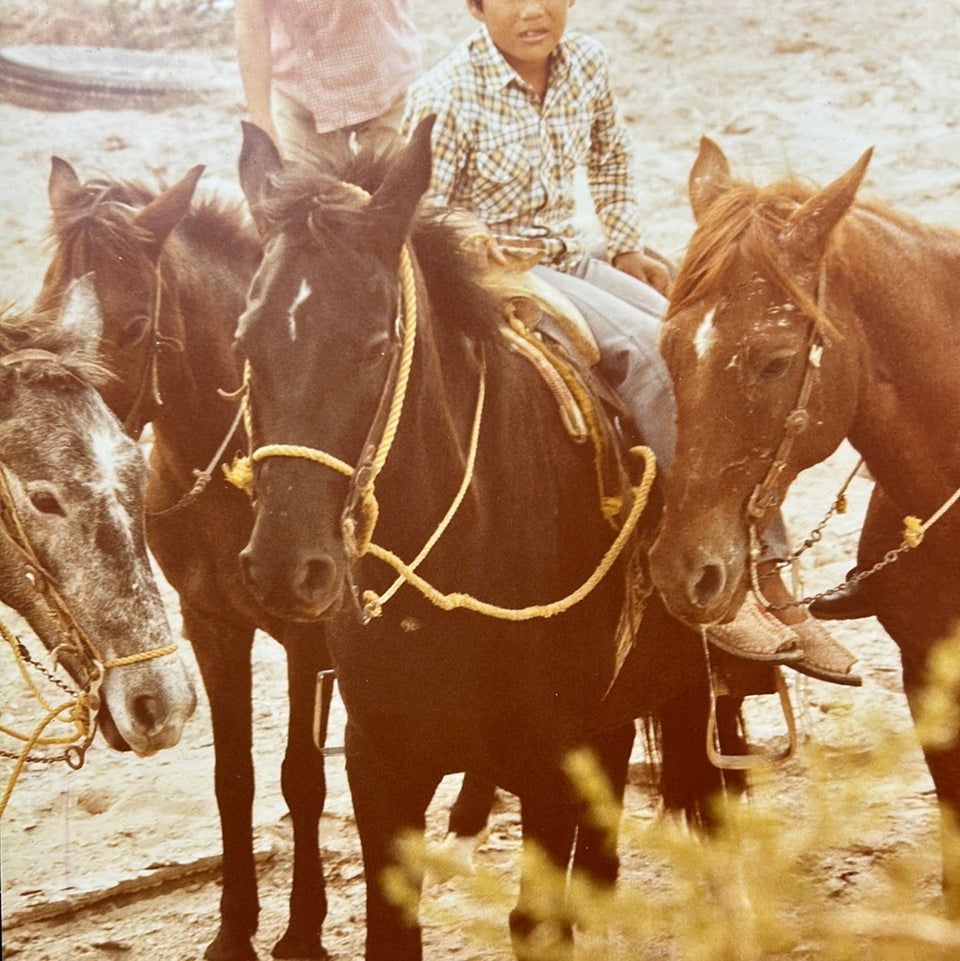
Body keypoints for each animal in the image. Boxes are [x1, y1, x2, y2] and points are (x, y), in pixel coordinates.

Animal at [37, 161, 332, 956]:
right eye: (40, 321)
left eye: (136, 326)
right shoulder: (211, 626)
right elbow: (234, 779)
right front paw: (234, 928)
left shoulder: (310, 637)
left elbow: (303, 777)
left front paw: (303, 928)